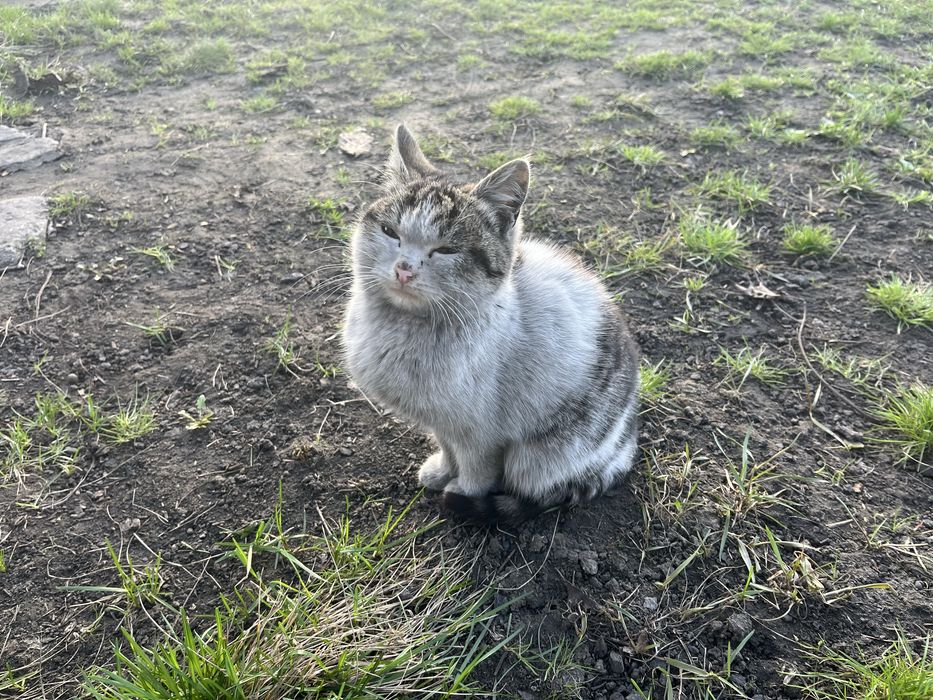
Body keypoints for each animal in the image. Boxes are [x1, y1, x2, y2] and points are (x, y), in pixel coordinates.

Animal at [342, 124, 640, 524]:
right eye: (391, 232)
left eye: (447, 250)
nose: (404, 269)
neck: (405, 327)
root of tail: (624, 447)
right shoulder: (443, 421)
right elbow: (447, 447)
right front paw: (441, 470)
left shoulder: (482, 435)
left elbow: (476, 470)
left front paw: (461, 490)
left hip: (540, 457)